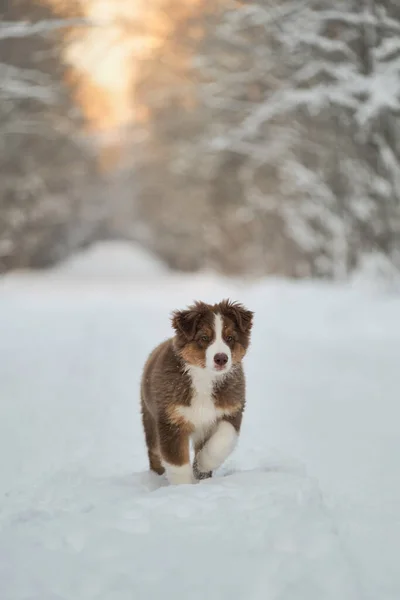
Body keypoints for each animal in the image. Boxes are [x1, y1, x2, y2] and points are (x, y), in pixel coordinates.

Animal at [141, 298, 253, 486]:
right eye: (204, 338)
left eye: (230, 338)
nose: (221, 358)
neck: (204, 378)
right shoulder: (170, 420)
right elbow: (177, 462)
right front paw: (183, 487)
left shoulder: (232, 409)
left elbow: (223, 439)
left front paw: (202, 464)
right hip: (150, 417)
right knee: (154, 452)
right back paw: (155, 478)